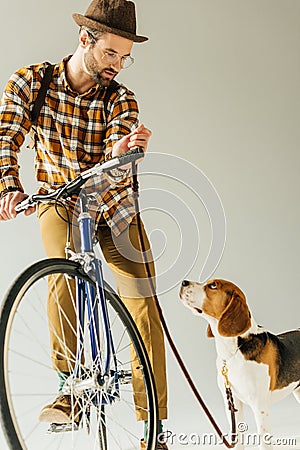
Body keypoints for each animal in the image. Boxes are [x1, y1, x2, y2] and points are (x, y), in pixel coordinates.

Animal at [179, 280, 298, 448]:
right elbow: (238, 438)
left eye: (213, 286)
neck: (233, 351)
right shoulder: (233, 403)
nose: (184, 282)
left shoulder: (260, 407)